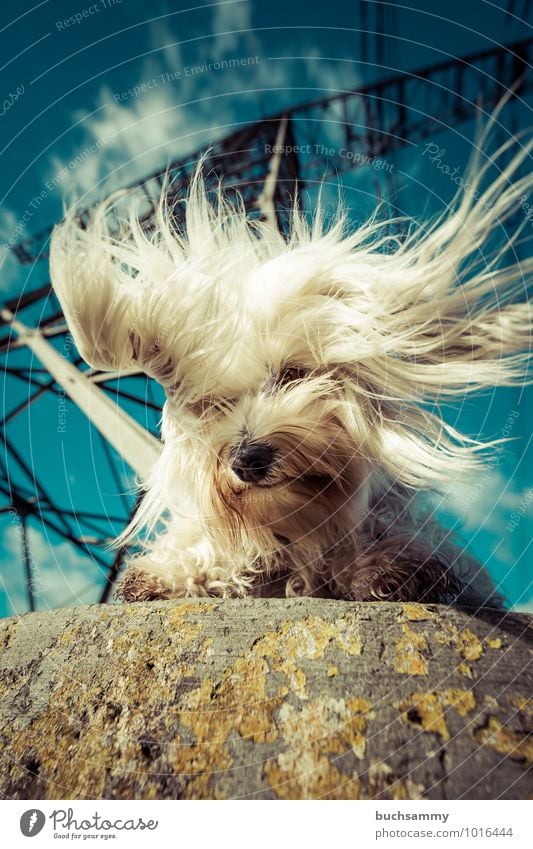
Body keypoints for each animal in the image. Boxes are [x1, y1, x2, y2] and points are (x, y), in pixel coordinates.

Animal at [48, 136, 528, 608]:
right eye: (212, 405)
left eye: (292, 374)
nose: (247, 459)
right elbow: (208, 549)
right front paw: (171, 574)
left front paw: (389, 565)